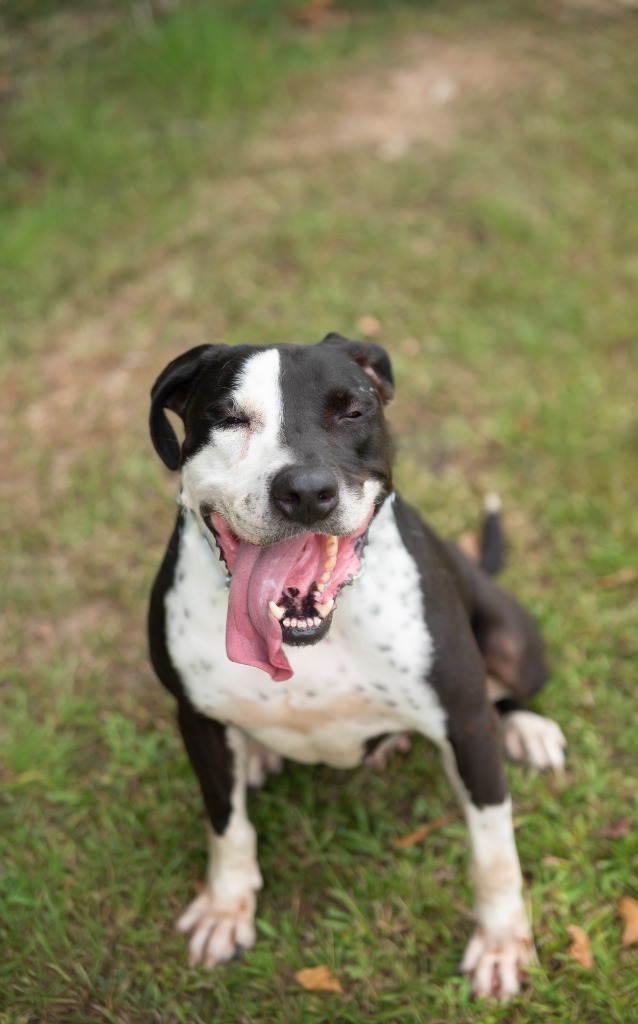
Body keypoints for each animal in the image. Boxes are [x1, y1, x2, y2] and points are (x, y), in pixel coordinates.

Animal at [148, 335, 565, 999]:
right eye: (229, 417)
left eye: (353, 412)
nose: (305, 490)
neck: (312, 638)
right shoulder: (196, 719)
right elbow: (226, 824)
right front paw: (225, 907)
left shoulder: (466, 721)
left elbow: (493, 846)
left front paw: (502, 941)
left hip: (511, 643)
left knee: (510, 694)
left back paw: (528, 728)